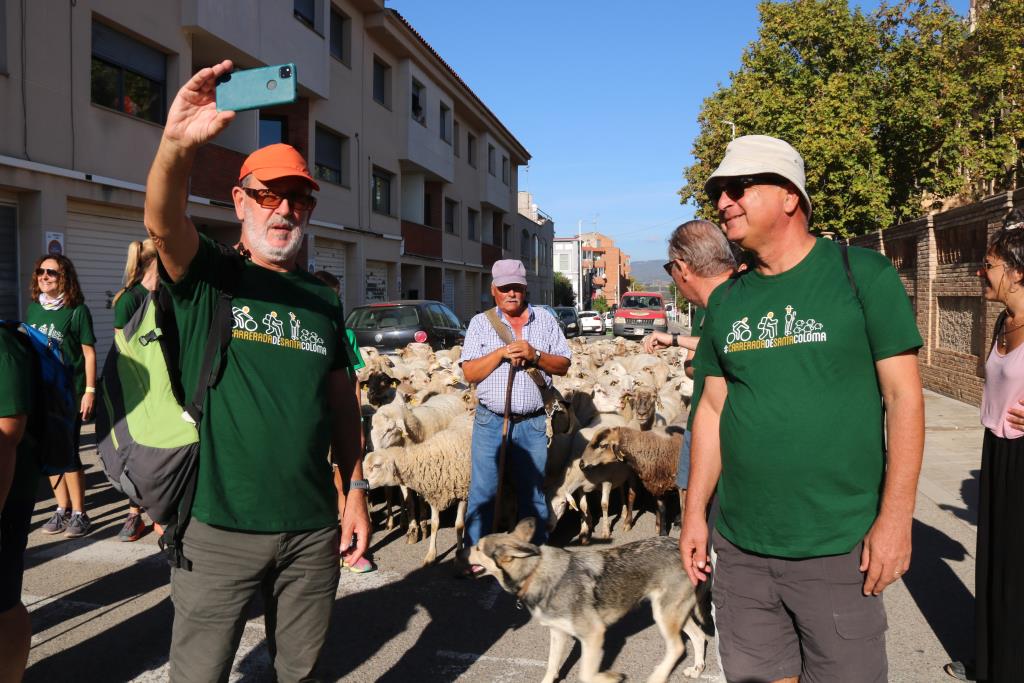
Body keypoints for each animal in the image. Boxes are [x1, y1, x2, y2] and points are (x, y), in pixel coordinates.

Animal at [468, 518, 708, 683]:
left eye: (478, 548)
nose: (463, 550)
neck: (535, 572)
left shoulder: (594, 634)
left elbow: (585, 674)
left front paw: (610, 677)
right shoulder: (558, 633)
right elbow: (551, 667)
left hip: (664, 615)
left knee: (678, 647)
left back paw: (658, 676)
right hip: (672, 614)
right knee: (699, 636)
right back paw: (697, 669)